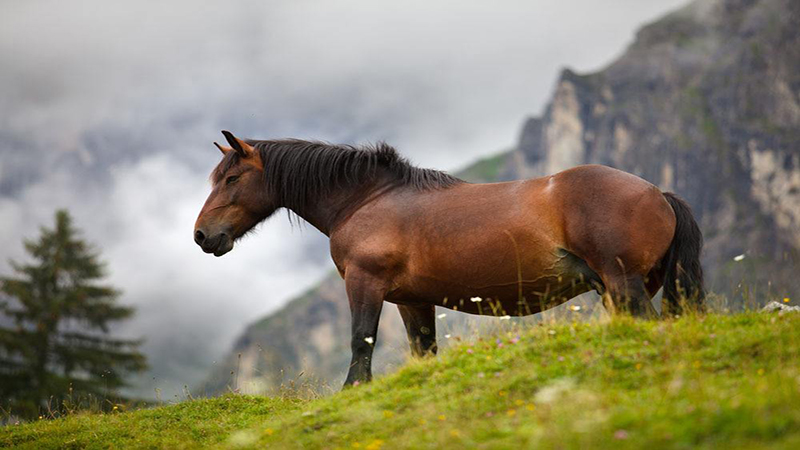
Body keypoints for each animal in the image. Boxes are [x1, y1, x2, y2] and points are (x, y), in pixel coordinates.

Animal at [194, 130, 705, 386]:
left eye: (232, 178)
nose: (202, 236)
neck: (367, 200)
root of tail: (657, 192)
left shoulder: (365, 284)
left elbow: (361, 342)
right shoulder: (412, 301)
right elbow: (423, 352)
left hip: (624, 285)